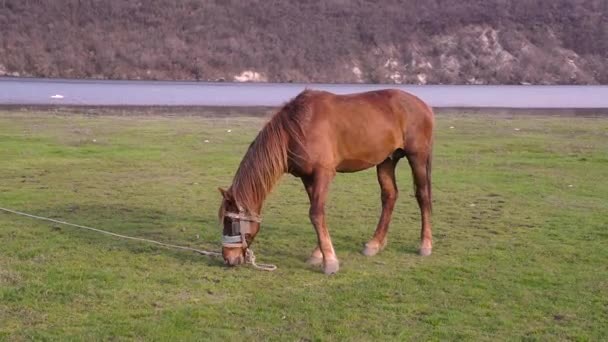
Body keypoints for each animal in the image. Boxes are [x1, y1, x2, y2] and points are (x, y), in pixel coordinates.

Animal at [218, 89, 432, 276]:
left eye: (231, 222)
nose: (228, 258)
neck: (296, 128)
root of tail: (422, 104)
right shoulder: (307, 177)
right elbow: (318, 213)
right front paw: (318, 254)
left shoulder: (324, 173)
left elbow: (316, 213)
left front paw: (329, 261)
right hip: (386, 161)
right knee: (389, 196)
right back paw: (375, 243)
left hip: (417, 157)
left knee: (422, 195)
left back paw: (425, 245)